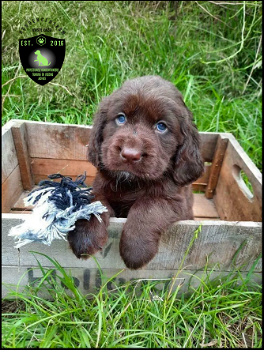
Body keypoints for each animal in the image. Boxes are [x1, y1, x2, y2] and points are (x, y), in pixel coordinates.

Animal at [68, 75, 204, 270]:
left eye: (161, 126)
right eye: (121, 118)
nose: (130, 155)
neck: (131, 183)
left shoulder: (175, 201)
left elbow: (148, 206)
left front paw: (136, 250)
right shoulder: (100, 185)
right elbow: (93, 199)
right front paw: (85, 236)